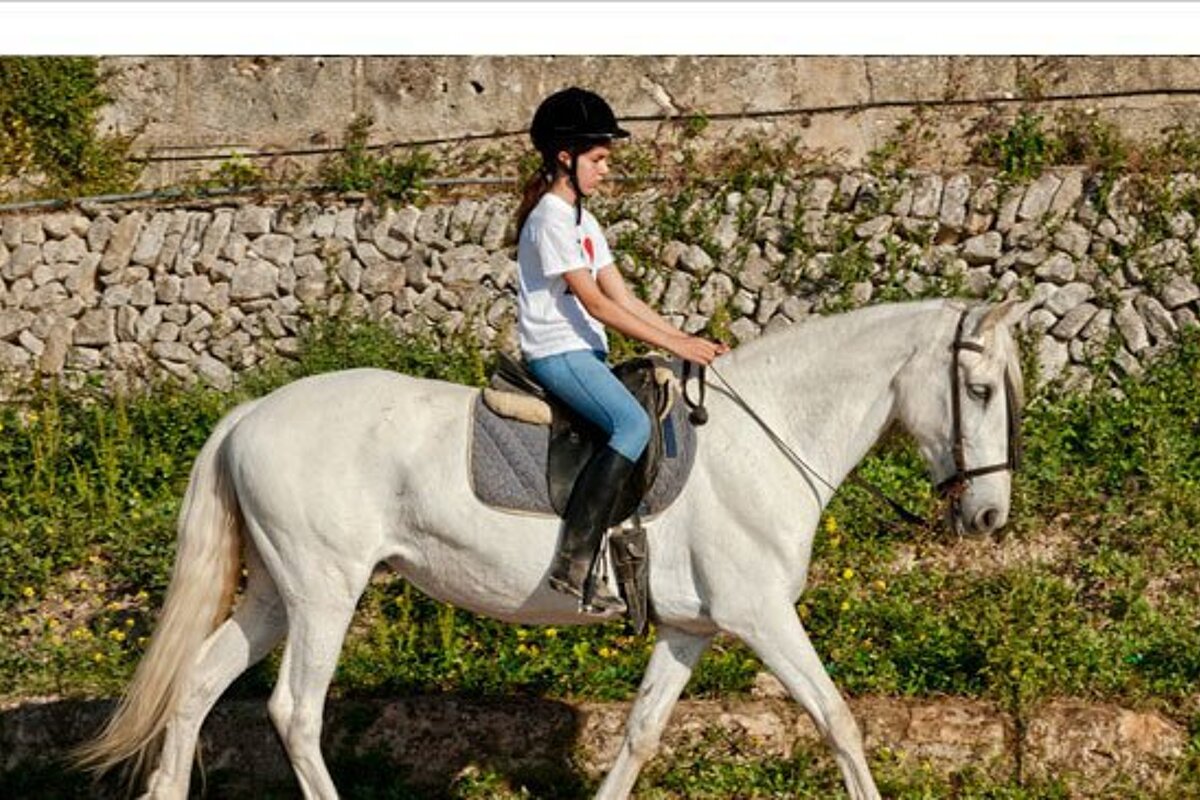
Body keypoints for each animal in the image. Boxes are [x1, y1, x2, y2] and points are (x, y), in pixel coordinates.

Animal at [76, 297, 1025, 800]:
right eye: (978, 389)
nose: (987, 518)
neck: (767, 439)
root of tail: (248, 414)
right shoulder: (760, 616)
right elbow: (838, 718)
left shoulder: (693, 628)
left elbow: (640, 734)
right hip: (323, 591)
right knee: (295, 712)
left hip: (275, 592)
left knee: (198, 685)